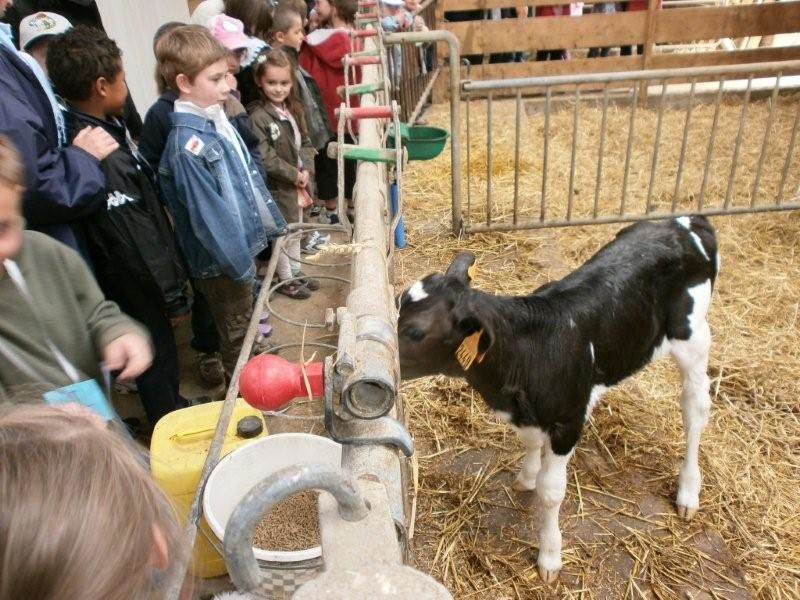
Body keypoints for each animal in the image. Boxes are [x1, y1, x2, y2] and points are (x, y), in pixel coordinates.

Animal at [400, 216, 720, 580]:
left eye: (415, 331)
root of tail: (687, 221)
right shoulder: (526, 412)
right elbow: (529, 446)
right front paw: (526, 476)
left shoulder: (568, 421)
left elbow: (551, 491)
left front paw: (550, 556)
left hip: (694, 338)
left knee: (695, 409)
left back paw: (688, 491)